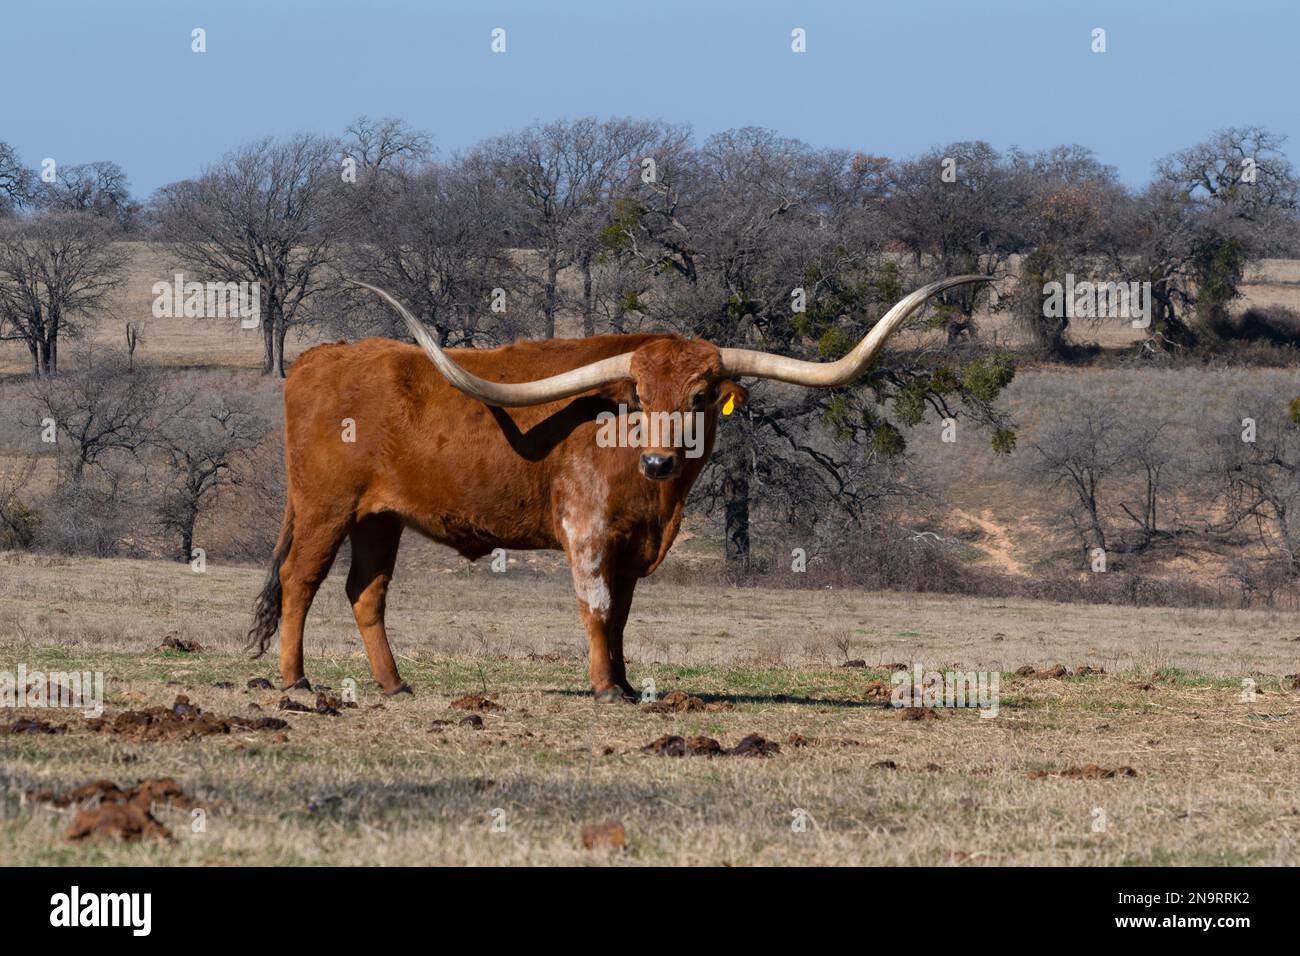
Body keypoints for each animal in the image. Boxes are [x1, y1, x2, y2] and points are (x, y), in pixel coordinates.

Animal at [248, 277, 987, 702]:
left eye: (699, 396)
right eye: (640, 396)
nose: (659, 461)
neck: (656, 499)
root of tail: (323, 355)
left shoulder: (633, 546)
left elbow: (624, 615)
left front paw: (629, 683)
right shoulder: (589, 532)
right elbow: (597, 608)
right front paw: (605, 689)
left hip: (379, 517)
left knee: (364, 591)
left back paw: (396, 685)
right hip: (324, 508)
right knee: (300, 580)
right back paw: (295, 679)